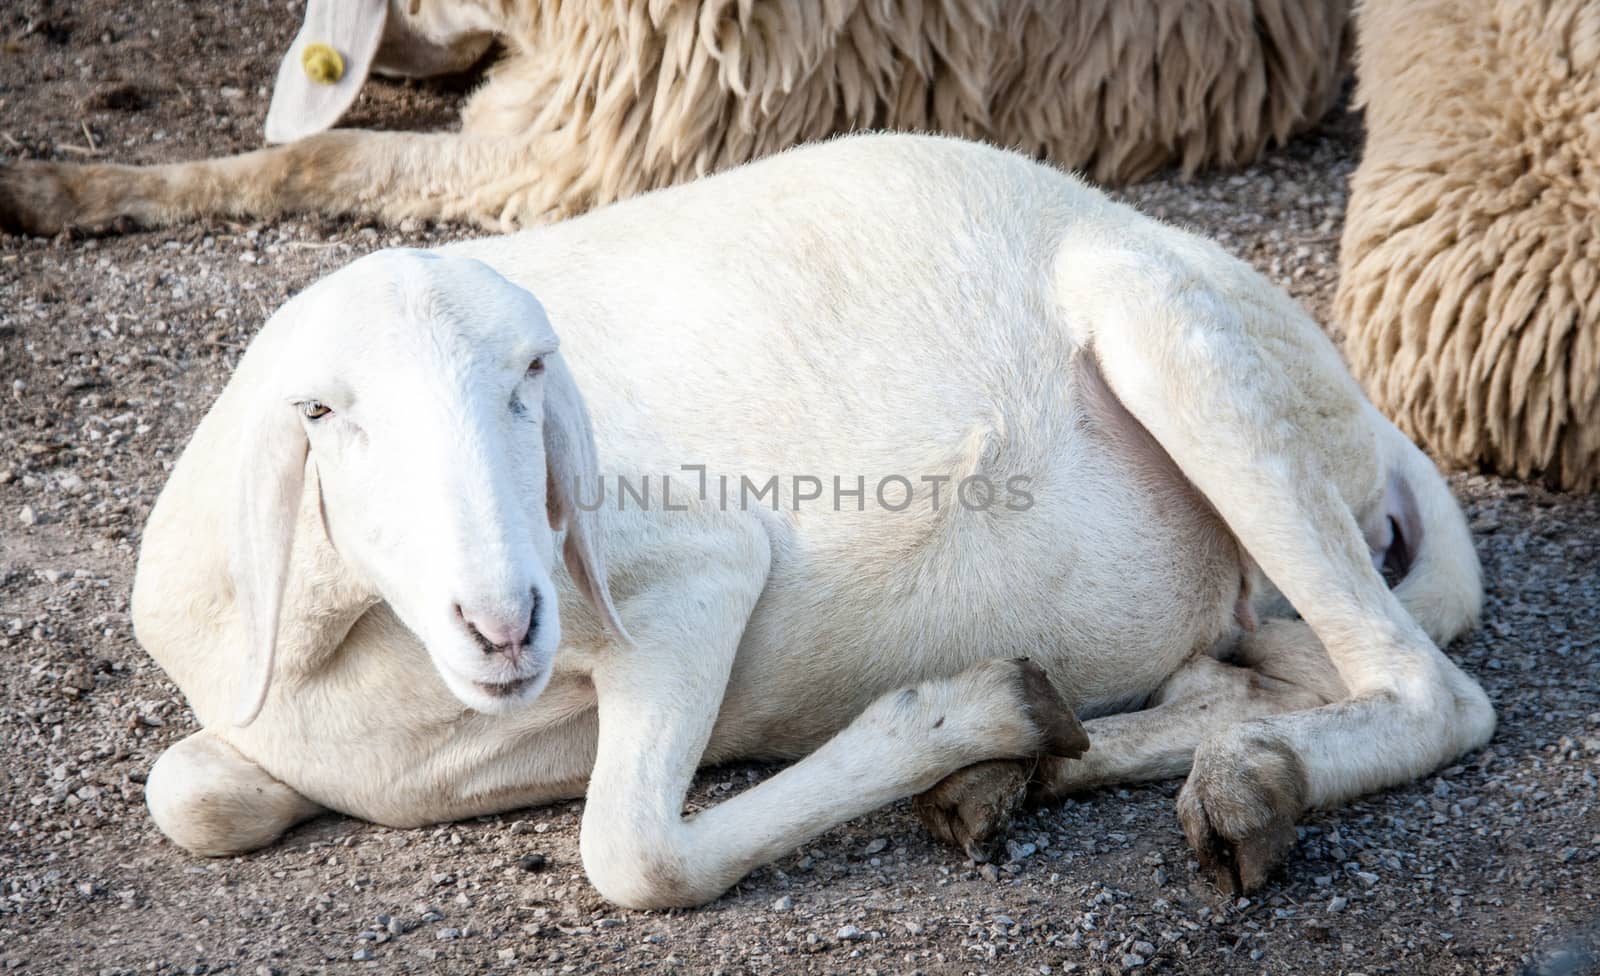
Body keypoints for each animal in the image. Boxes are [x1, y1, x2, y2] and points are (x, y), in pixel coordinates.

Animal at [131, 135, 1491, 902]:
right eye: (321, 411)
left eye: (531, 375)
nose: (502, 620)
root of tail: (1357, 412)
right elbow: (187, 794)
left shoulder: (696, 575)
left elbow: (635, 857)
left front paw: (958, 712)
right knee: (1275, 668)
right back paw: (1063, 770)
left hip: (1183, 345)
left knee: (1429, 694)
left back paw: (1206, 786)